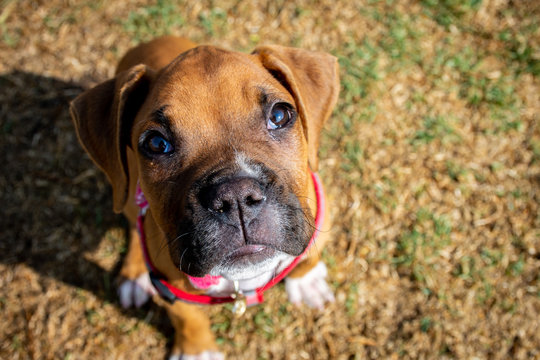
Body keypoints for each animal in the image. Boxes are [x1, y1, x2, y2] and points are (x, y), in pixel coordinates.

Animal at [70, 34, 340, 360]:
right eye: (157, 144)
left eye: (279, 115)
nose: (235, 197)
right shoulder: (170, 289)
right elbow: (188, 317)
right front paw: (197, 350)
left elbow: (310, 253)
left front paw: (306, 280)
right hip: (127, 191)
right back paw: (134, 276)